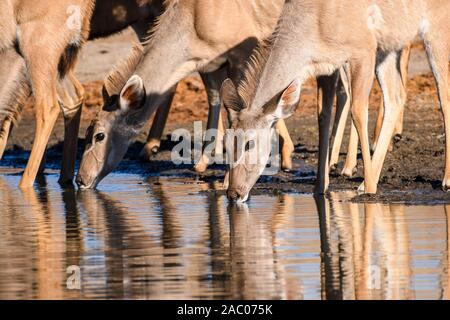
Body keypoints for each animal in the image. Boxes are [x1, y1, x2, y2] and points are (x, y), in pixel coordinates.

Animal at [225, 0, 450, 201]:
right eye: (228, 142)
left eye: (250, 143)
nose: (233, 193)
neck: (315, 18)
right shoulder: (327, 68)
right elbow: (323, 116)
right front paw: (320, 187)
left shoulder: (363, 52)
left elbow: (358, 112)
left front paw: (369, 188)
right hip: (389, 50)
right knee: (396, 97)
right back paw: (363, 183)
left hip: (433, 34)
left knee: (443, 95)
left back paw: (445, 180)